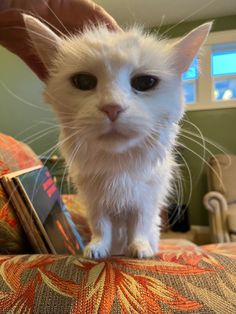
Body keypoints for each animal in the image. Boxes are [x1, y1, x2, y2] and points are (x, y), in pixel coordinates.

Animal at [23, 14, 211, 258]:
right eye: (83, 82)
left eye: (145, 82)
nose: (112, 108)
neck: (117, 165)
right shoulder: (96, 202)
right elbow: (101, 228)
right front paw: (97, 249)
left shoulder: (143, 202)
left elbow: (138, 227)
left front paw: (140, 250)